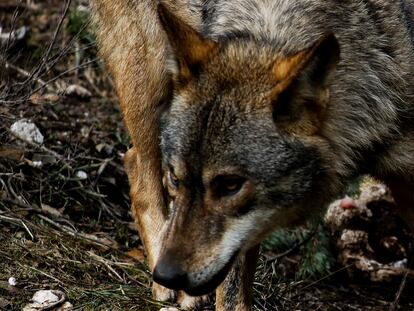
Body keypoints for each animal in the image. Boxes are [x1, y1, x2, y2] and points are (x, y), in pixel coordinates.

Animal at [90, 0, 414, 310]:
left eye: (230, 185)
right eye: (176, 178)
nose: (167, 275)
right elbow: (232, 299)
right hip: (148, 77)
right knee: (137, 168)